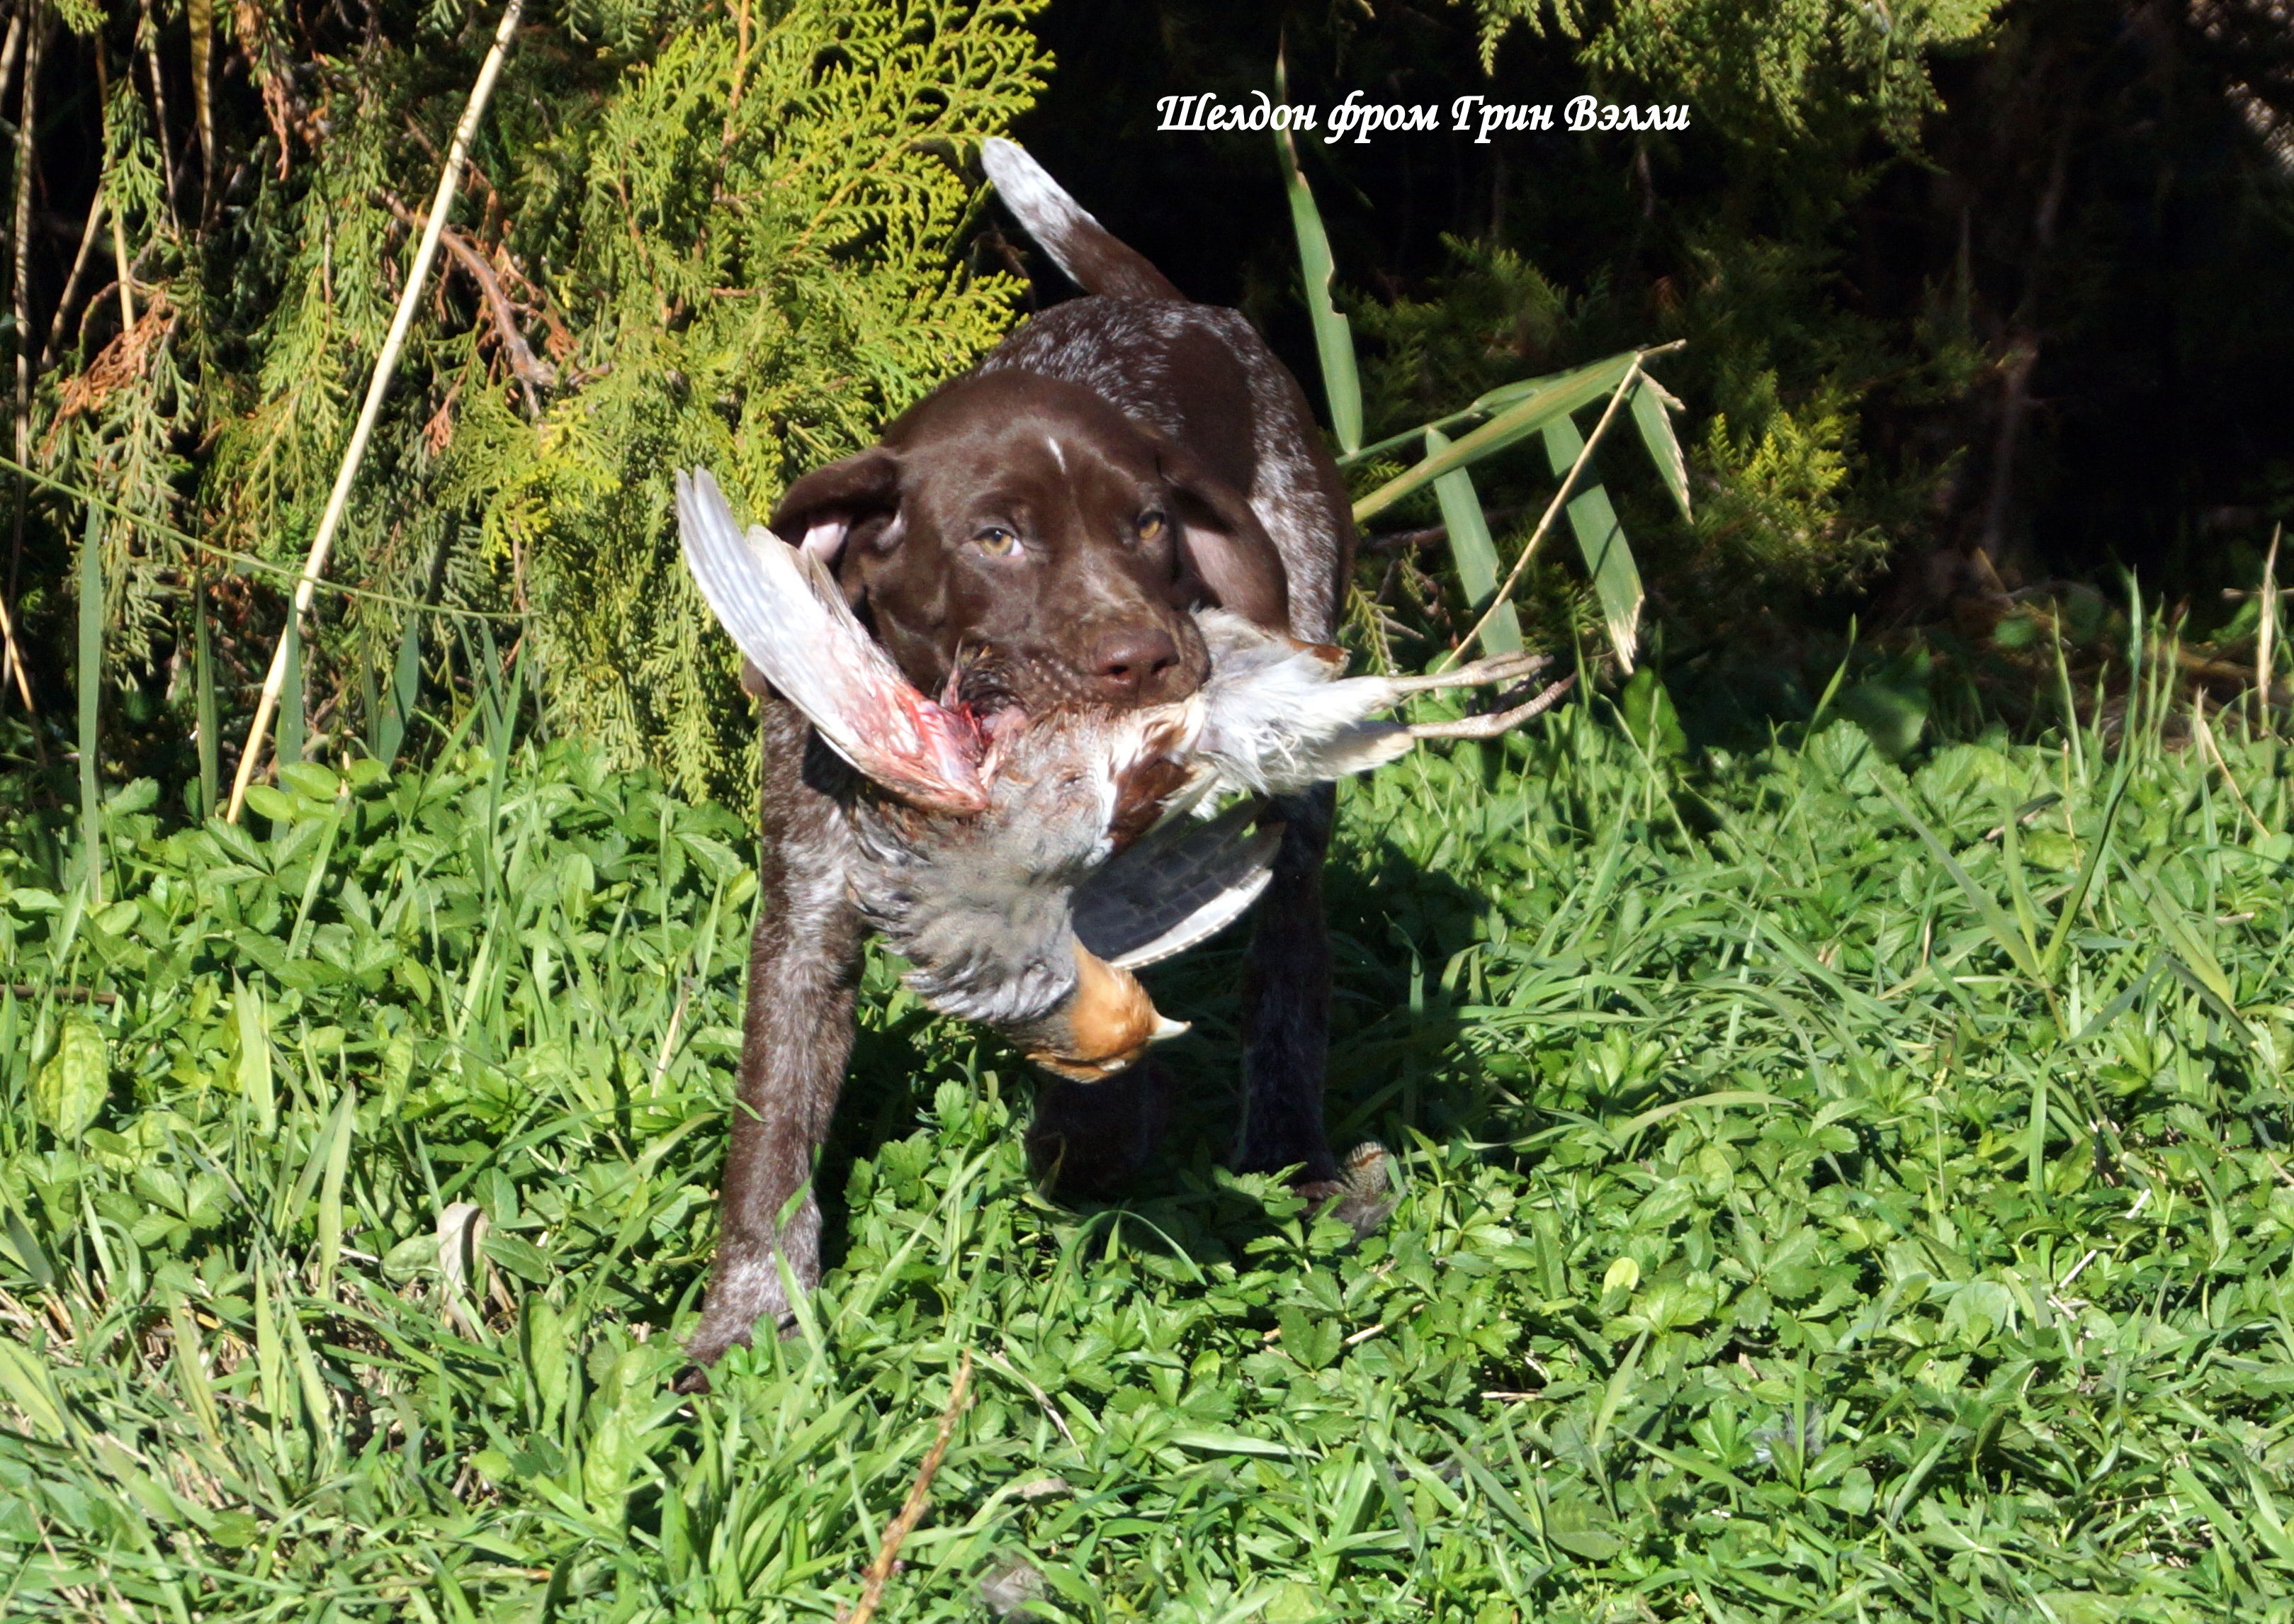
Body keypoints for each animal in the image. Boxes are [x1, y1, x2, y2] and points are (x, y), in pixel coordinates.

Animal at [678, 140, 1363, 1383]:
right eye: (995, 538)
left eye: (1149, 524)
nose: (1147, 659)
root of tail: (1178, 306)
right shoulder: (806, 914)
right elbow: (773, 1127)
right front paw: (746, 1328)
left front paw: (1091, 1138)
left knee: (1289, 962)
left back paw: (1294, 1156)